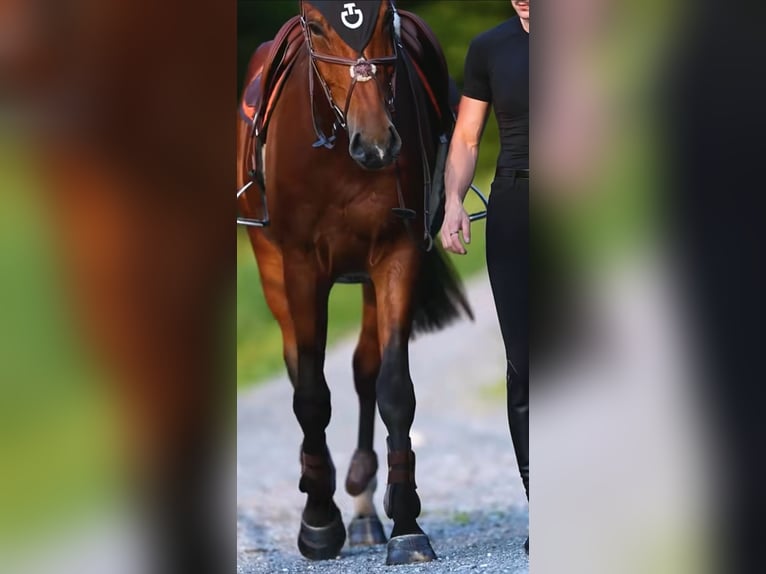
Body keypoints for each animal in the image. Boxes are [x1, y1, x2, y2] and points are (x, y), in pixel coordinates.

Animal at [237, 0, 472, 564]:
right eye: (317, 24)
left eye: (385, 16)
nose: (377, 144)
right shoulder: (300, 266)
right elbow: (310, 394)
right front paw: (319, 522)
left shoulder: (396, 256)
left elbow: (393, 388)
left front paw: (406, 524)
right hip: (274, 271)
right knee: (299, 367)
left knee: (365, 369)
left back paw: (365, 509)